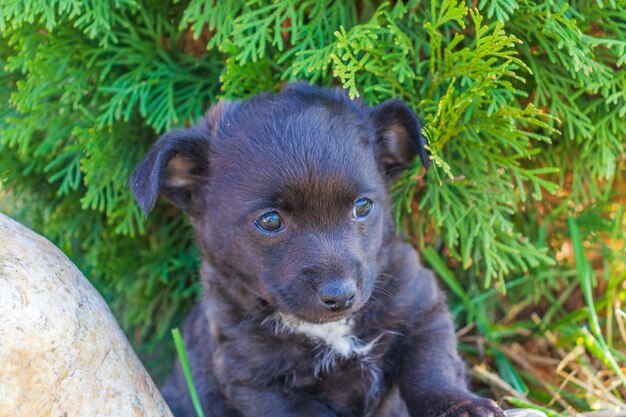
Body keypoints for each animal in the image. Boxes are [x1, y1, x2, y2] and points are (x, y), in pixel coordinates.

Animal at [130, 82, 502, 416]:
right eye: (270, 220)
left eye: (363, 207)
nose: (341, 296)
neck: (329, 330)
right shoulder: (258, 384)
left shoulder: (423, 312)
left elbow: (433, 372)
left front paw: (462, 407)